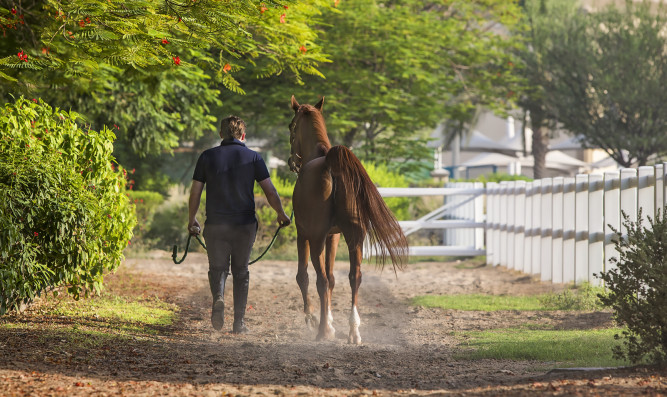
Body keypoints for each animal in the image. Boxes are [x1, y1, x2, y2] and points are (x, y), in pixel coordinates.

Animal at [288, 94, 408, 342]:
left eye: (290, 126)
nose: (291, 162)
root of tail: (330, 163)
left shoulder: (303, 234)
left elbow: (304, 276)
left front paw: (313, 319)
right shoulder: (333, 236)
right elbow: (334, 278)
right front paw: (331, 322)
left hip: (316, 239)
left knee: (321, 280)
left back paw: (322, 331)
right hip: (354, 237)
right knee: (354, 277)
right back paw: (353, 330)